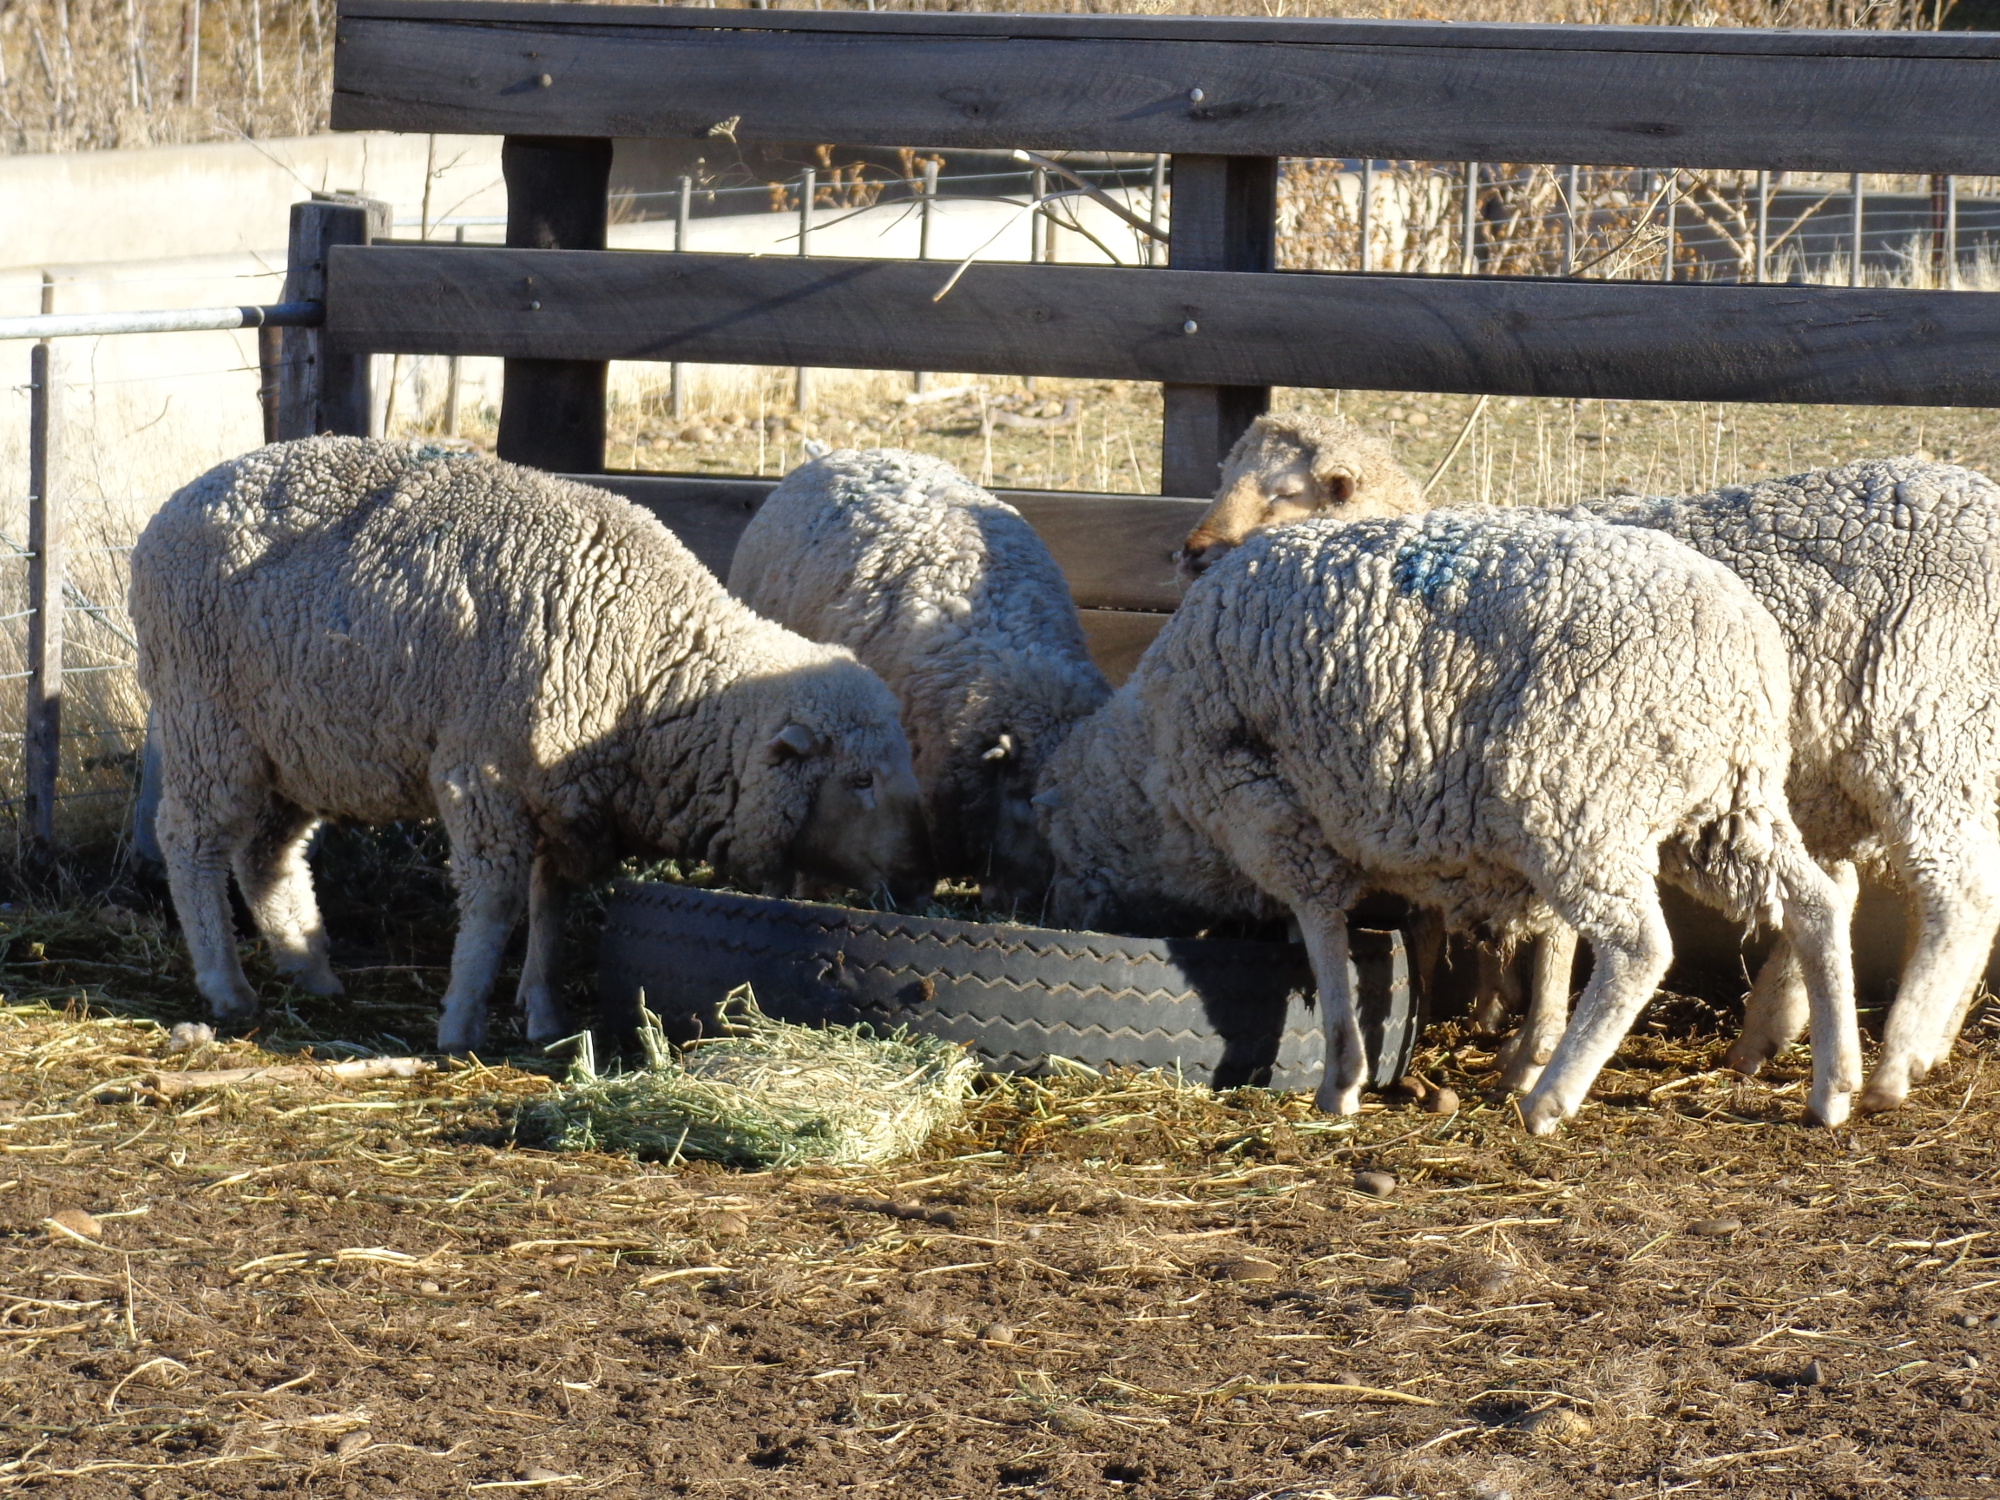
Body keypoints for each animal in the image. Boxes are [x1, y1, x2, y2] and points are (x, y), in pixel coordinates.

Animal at [137, 434, 932, 1056]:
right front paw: (461, 1023)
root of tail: (183, 497)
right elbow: (493, 905)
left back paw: (311, 970)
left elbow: (552, 907)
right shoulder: (483, 777)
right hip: (207, 725)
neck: (648, 665)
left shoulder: (571, 800)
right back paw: (227, 987)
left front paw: (545, 1016)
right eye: (859, 780)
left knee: (265, 857)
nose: (918, 874)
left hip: (299, 747)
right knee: (190, 843)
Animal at [1048, 512, 1856, 1136]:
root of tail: (1742, 639)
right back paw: (1834, 1086)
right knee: (1815, 905)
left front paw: (1342, 1078)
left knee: (1639, 949)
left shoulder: (1273, 817)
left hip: (1580, 796)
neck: (1148, 766)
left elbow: (1324, 937)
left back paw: (1550, 1099)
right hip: (1723, 806)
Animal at [1176, 412, 2000, 1120]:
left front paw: (1530, 1053)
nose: (1191, 551)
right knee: (1879, 897)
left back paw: (1895, 1062)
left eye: (1285, 493)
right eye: (1226, 478)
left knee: (1958, 895)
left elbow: (1553, 935)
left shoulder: (1557, 785)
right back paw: (1838, 1045)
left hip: (1926, 736)